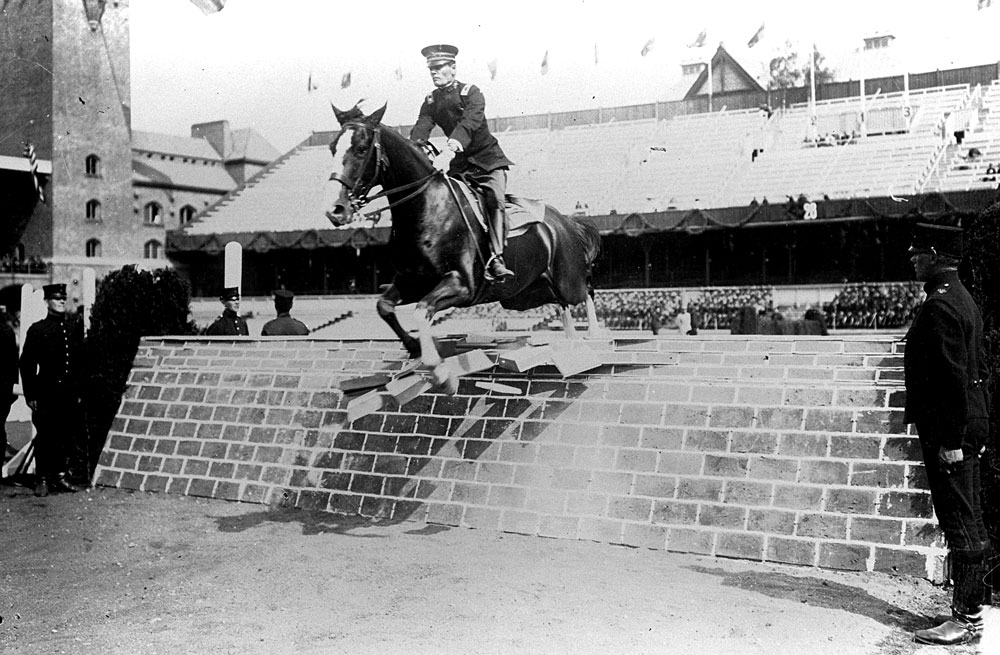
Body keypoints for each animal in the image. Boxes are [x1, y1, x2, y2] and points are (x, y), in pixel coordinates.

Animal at [326, 102, 600, 390]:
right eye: (332, 147)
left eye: (361, 148)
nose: (335, 210)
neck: (426, 206)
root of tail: (565, 221)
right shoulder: (411, 282)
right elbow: (385, 307)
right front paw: (413, 346)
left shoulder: (461, 285)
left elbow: (422, 311)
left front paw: (440, 373)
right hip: (524, 295)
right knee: (562, 304)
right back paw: (572, 340)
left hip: (567, 280)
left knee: (586, 291)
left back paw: (593, 334)